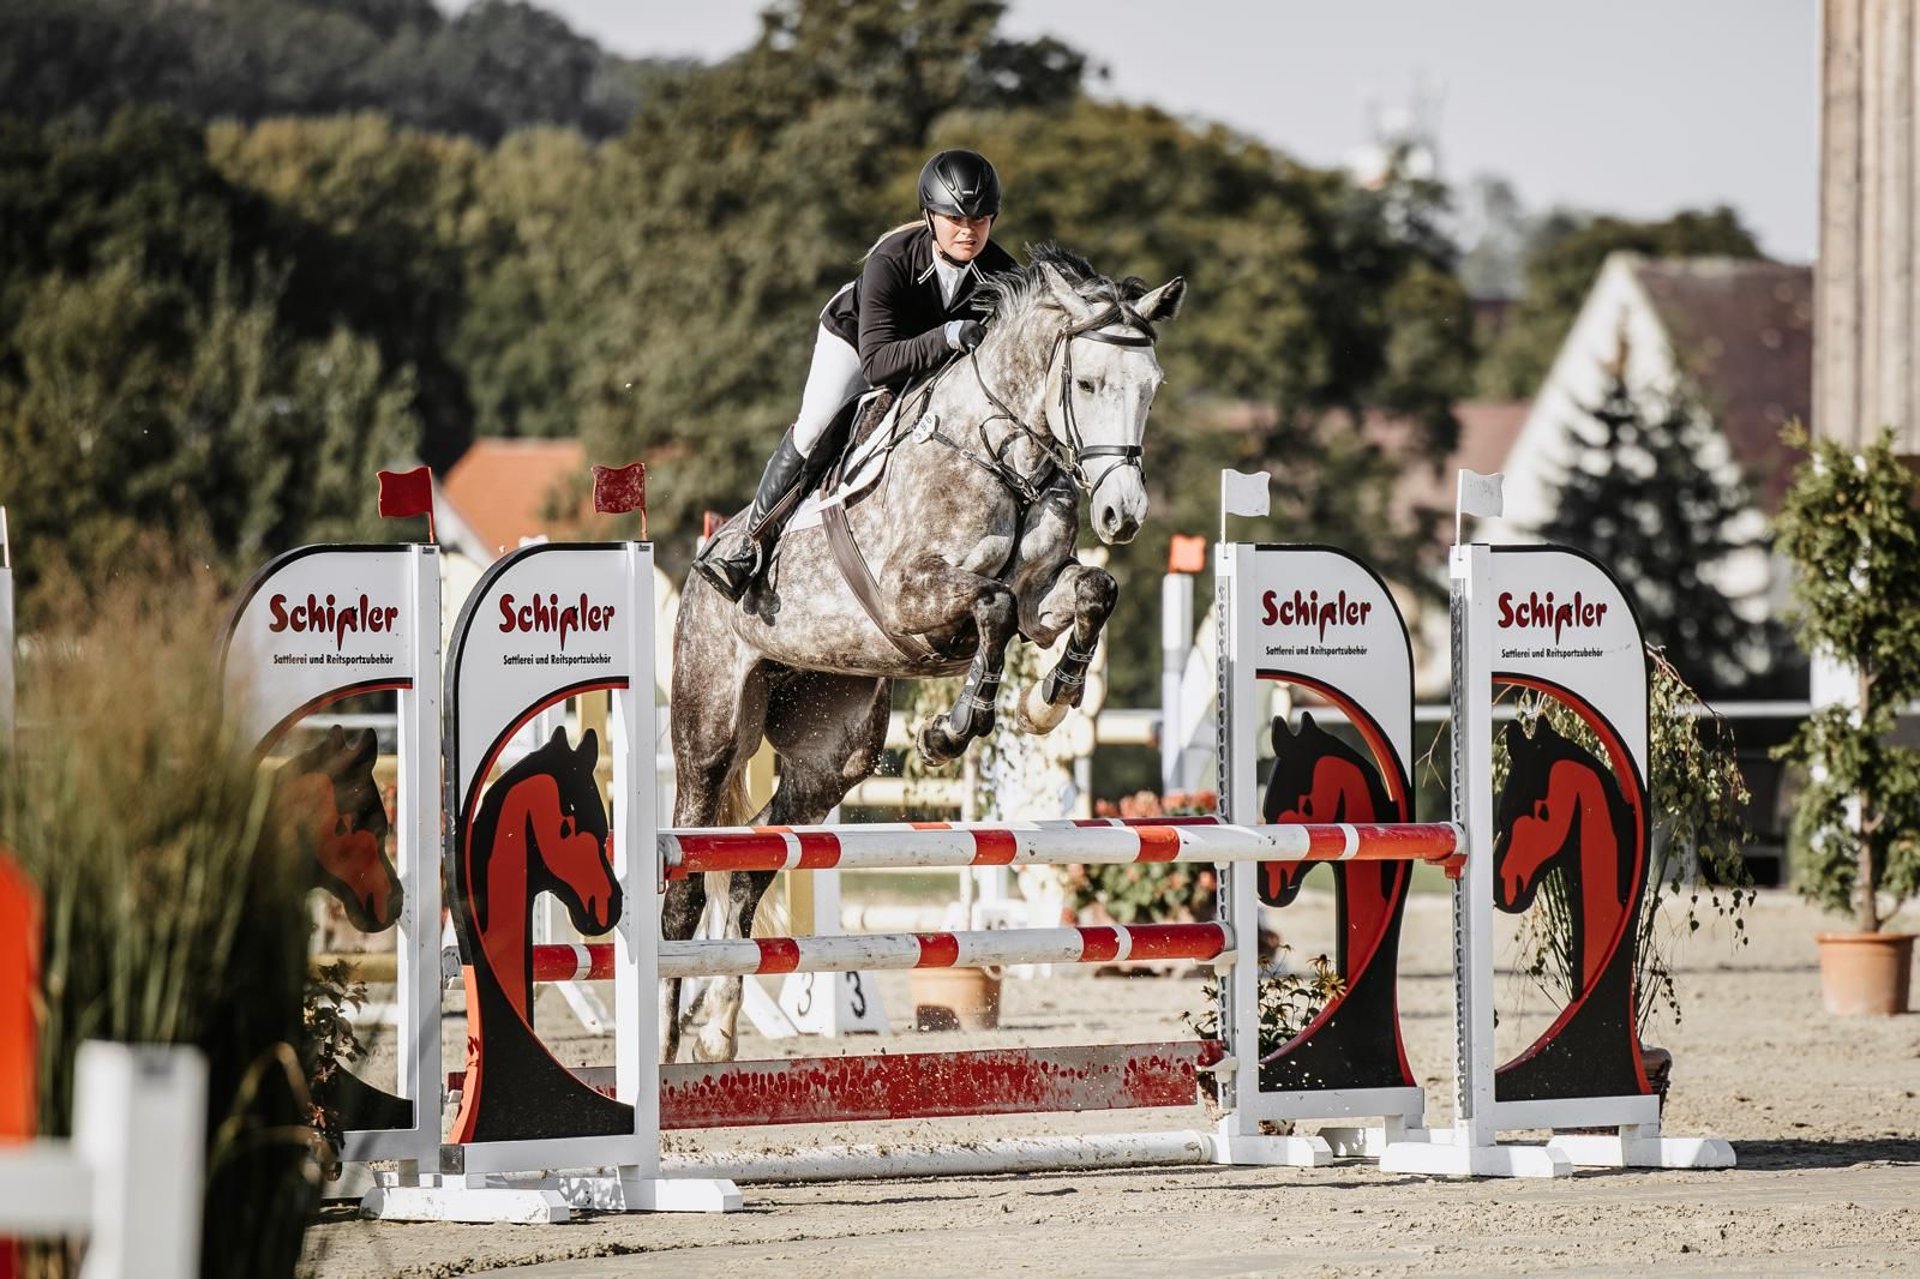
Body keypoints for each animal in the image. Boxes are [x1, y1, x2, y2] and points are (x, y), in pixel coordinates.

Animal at [666, 246, 1186, 1063]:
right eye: (1089, 383)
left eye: (1152, 389)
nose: (1121, 514)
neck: (1004, 452)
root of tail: (700, 560)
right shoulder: (914, 592)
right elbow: (991, 606)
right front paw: (951, 728)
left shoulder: (1042, 597)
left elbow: (1091, 590)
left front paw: (1048, 701)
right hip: (710, 731)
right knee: (688, 880)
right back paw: (660, 1048)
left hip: (832, 754)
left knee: (753, 865)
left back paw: (715, 1034)